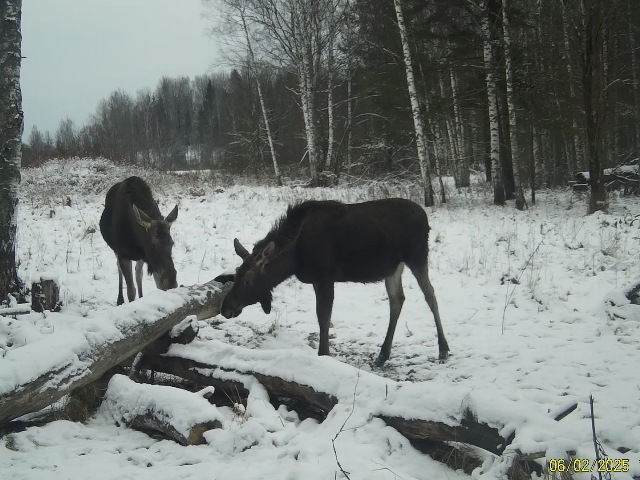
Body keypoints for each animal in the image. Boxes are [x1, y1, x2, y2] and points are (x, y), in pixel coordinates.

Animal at [99, 176, 178, 305]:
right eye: (153, 244)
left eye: (172, 243)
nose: (171, 282)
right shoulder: (123, 255)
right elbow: (131, 291)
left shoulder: (148, 258)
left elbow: (154, 283)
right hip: (116, 250)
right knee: (119, 268)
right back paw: (120, 299)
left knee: (138, 273)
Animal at [219, 198, 448, 366]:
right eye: (236, 273)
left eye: (248, 280)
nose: (226, 308)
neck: (294, 258)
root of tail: (426, 217)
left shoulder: (324, 277)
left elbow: (324, 317)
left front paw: (324, 354)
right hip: (393, 266)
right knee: (397, 299)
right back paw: (383, 355)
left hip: (417, 256)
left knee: (430, 295)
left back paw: (443, 349)